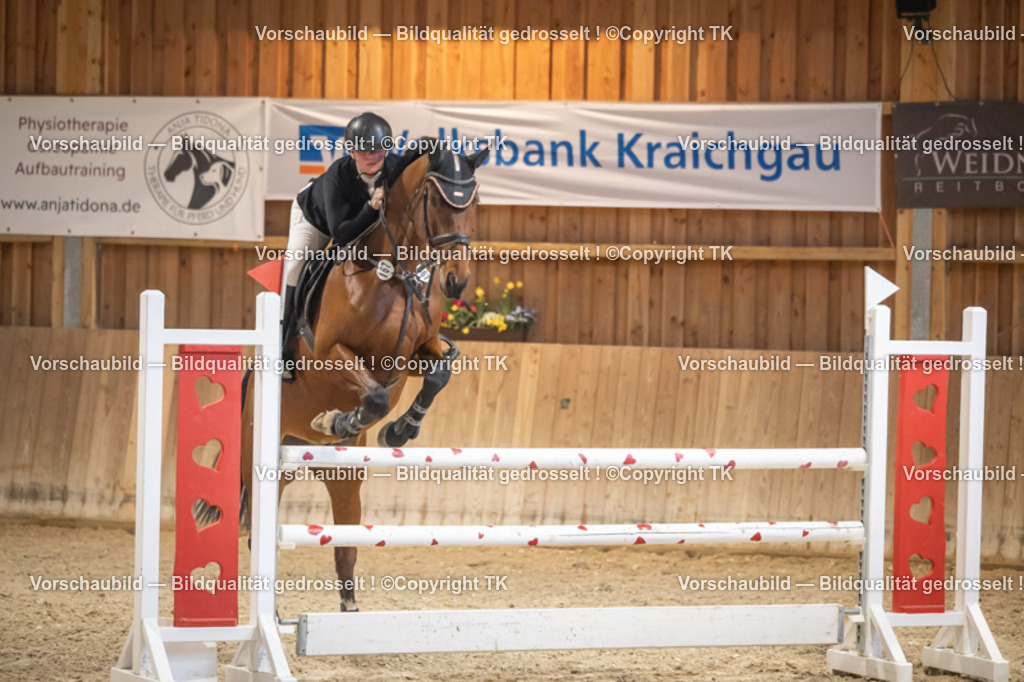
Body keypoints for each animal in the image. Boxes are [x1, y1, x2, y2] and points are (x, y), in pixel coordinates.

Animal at [241, 146, 488, 612]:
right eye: (434, 199)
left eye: (476, 202)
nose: (457, 280)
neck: (393, 273)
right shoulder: (330, 356)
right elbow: (372, 397)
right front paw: (339, 419)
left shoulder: (412, 356)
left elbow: (440, 373)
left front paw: (399, 430)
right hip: (260, 456)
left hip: (339, 473)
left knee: (345, 543)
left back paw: (349, 608)